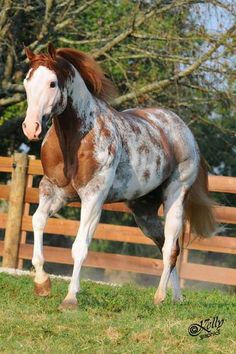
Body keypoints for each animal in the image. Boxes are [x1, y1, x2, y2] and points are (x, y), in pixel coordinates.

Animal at [21, 42, 216, 312]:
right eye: (27, 82)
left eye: (52, 83)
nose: (31, 128)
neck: (75, 140)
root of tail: (184, 131)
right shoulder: (53, 191)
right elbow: (37, 221)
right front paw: (42, 284)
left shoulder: (93, 197)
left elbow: (80, 246)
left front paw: (70, 299)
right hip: (144, 212)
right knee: (168, 246)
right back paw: (175, 297)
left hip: (175, 196)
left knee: (170, 248)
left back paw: (159, 296)